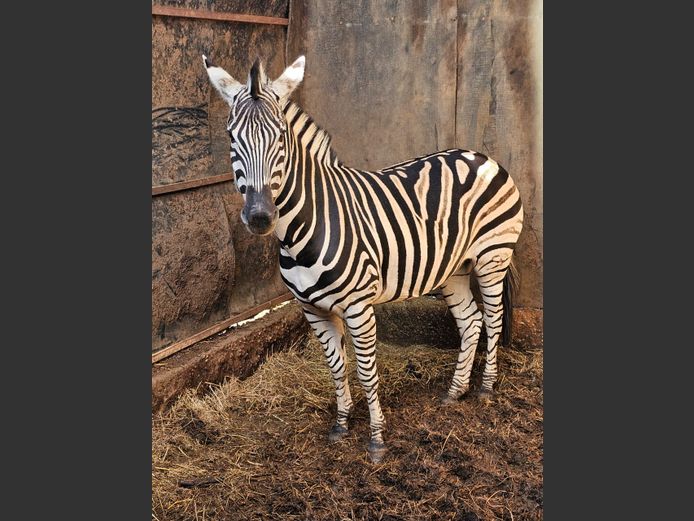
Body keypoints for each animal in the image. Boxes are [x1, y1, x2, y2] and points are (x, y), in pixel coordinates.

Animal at [203, 54, 524, 463]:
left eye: (281, 139)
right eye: (232, 138)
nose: (260, 216)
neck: (301, 230)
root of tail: (480, 156)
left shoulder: (358, 306)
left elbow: (367, 371)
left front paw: (376, 439)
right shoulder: (312, 309)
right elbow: (337, 368)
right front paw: (341, 424)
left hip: (491, 257)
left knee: (493, 320)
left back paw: (484, 389)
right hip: (452, 269)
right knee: (471, 322)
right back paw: (455, 391)